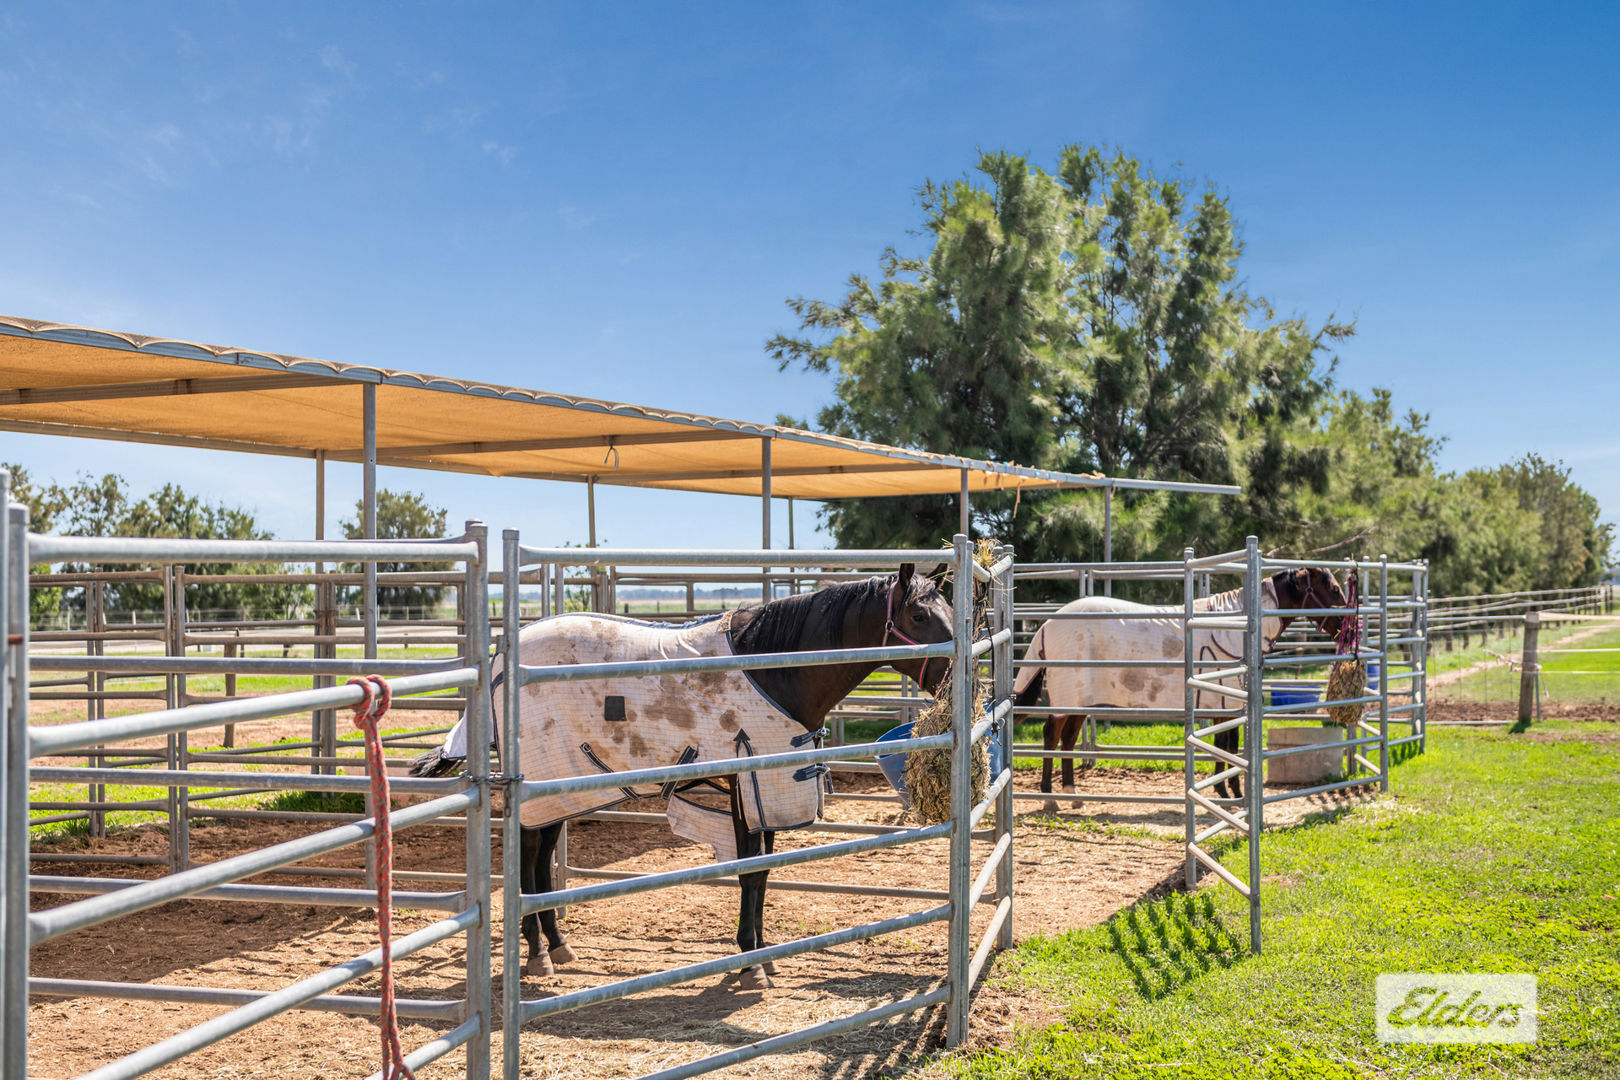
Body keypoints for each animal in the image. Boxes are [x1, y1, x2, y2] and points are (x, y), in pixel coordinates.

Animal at [411, 563, 953, 991]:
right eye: (919, 616)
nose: (954, 676)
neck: (774, 671)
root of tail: (502, 655)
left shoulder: (770, 791)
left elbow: (763, 875)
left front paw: (761, 956)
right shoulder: (745, 789)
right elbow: (750, 873)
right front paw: (751, 964)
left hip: (560, 787)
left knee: (541, 859)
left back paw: (559, 946)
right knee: (526, 859)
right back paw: (539, 954)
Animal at [1011, 567, 1345, 807]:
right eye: (1333, 588)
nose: (1347, 626)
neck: (1237, 628)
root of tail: (1048, 624)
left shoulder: (1226, 707)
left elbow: (1226, 746)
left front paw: (1228, 791)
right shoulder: (1224, 705)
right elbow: (1225, 746)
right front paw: (1228, 793)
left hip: (1081, 703)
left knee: (1068, 739)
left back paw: (1072, 795)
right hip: (1065, 700)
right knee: (1051, 736)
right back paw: (1050, 799)